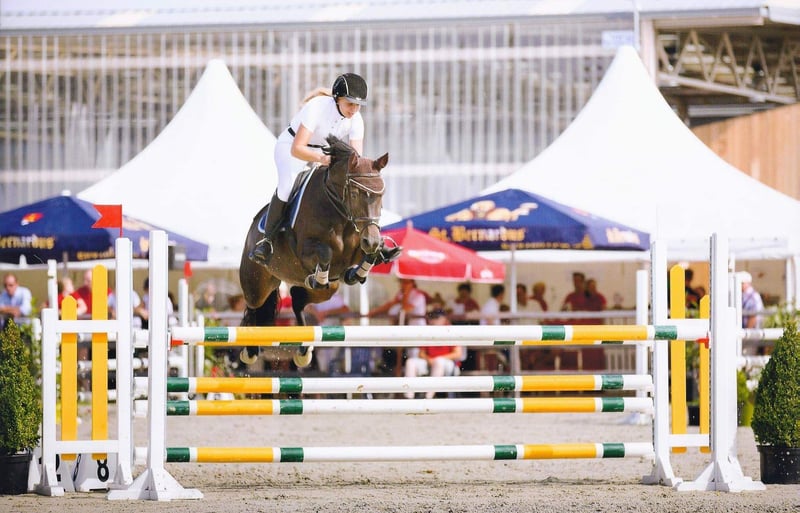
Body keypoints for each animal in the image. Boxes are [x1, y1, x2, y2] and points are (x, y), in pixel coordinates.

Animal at [239, 135, 390, 368]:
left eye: (381, 194)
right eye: (355, 194)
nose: (371, 240)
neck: (339, 210)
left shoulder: (355, 249)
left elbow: (367, 257)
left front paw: (358, 271)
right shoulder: (306, 251)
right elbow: (325, 253)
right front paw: (319, 276)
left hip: (330, 290)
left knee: (297, 299)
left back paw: (303, 351)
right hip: (256, 284)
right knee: (253, 306)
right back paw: (251, 349)